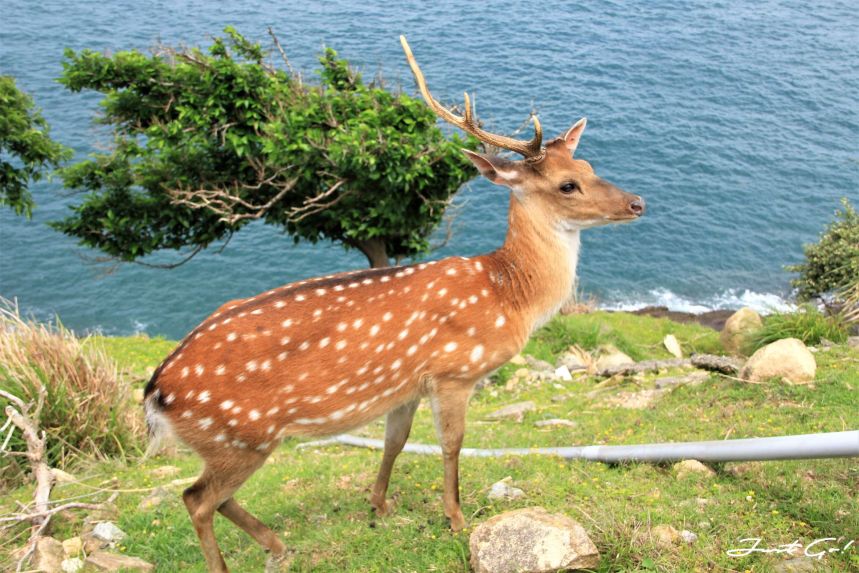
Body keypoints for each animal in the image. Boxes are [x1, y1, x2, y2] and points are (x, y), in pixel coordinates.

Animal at [143, 36, 645, 572]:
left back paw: (277, 544)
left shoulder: (405, 385)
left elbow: (395, 443)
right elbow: (451, 445)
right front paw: (455, 518)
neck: (508, 294)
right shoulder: (454, 370)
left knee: (209, 496)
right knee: (196, 499)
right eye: (567, 184)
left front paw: (379, 505)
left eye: (589, 166)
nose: (637, 203)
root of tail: (154, 392)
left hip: (233, 444)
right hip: (239, 437)